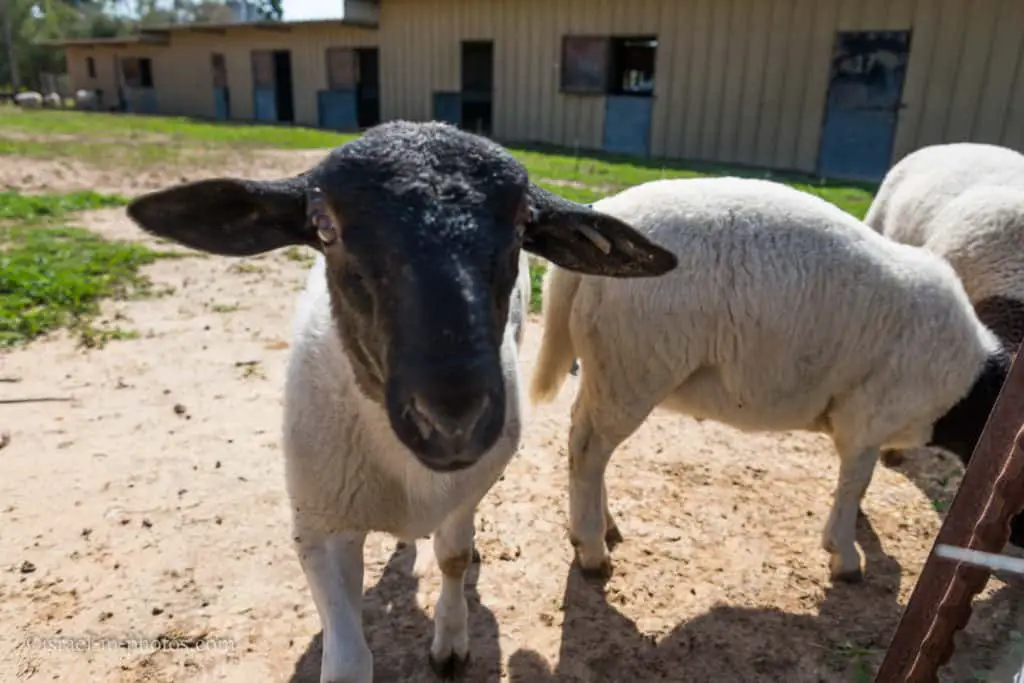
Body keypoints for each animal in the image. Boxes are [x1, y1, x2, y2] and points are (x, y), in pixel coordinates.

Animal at [123, 121, 675, 683]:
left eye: (524, 226)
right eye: (323, 227)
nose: (453, 420)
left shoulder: (466, 488)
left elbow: (452, 557)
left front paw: (450, 641)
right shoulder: (319, 529)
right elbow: (348, 661)